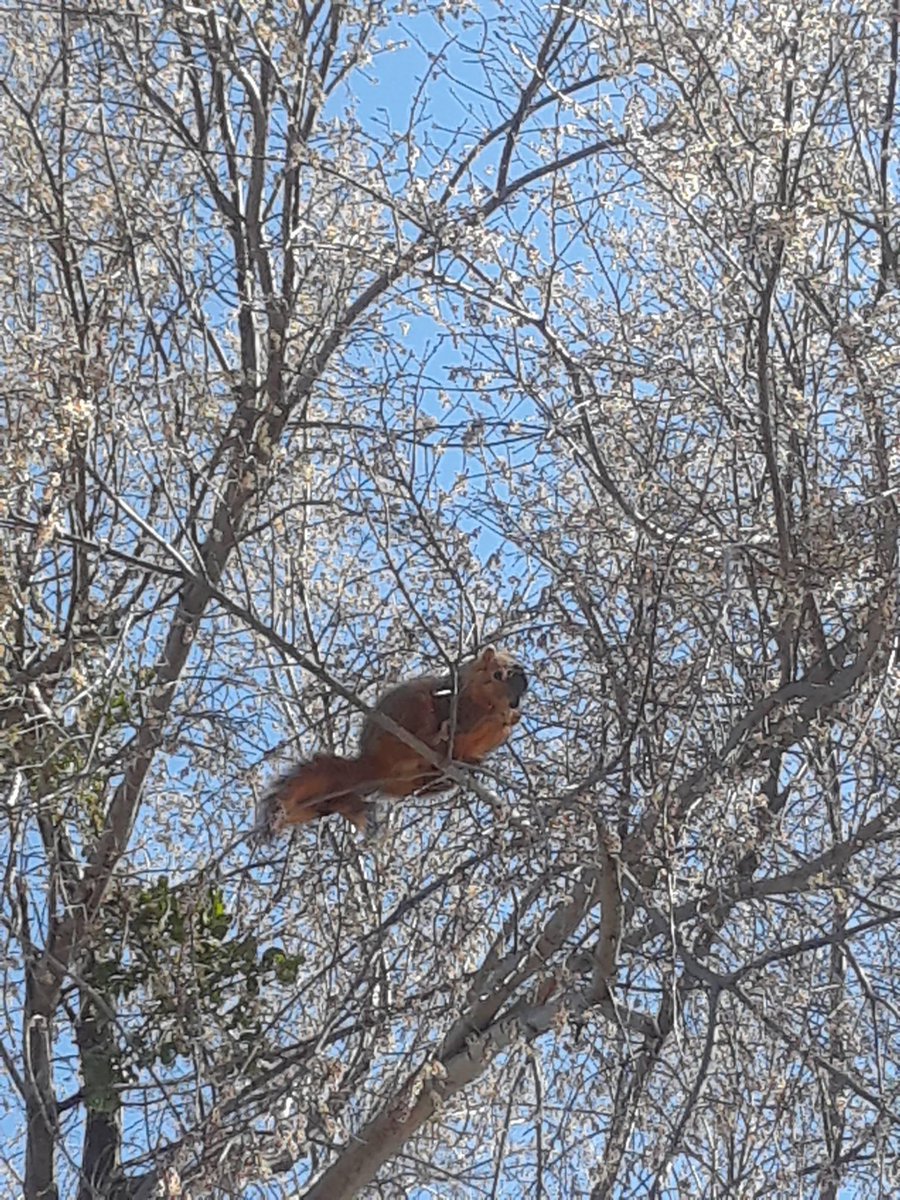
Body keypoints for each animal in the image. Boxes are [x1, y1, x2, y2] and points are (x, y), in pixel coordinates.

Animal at [259, 647, 528, 835]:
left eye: (523, 689)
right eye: (497, 674)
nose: (514, 703)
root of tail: (372, 764)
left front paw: (511, 718)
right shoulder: (457, 703)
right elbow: (468, 720)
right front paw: (501, 716)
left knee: (424, 789)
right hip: (413, 710)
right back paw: (435, 738)